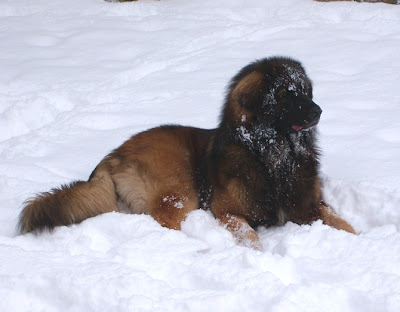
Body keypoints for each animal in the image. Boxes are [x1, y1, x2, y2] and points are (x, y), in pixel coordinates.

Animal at [19, 56, 356, 250]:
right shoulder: (228, 210)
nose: (318, 111)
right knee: (168, 223)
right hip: (179, 186)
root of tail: (114, 154)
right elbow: (251, 237)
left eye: (305, 91)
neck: (271, 154)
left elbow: (343, 223)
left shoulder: (309, 204)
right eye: (286, 93)